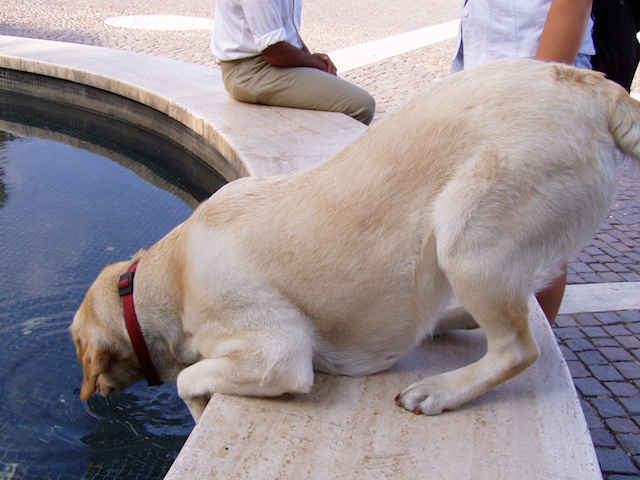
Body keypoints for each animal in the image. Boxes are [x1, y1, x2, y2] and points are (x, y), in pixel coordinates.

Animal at [70, 59, 640, 420]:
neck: (170, 274)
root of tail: (592, 84)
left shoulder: (277, 353)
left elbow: (191, 380)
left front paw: (198, 404)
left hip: (467, 234)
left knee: (517, 348)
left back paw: (440, 391)